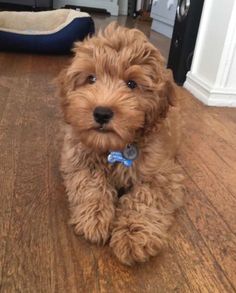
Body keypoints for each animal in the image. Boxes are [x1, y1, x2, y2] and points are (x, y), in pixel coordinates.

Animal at [57, 22, 184, 264]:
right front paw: (94, 219)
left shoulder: (163, 174)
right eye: (91, 79)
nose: (102, 112)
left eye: (132, 84)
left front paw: (134, 235)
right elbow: (92, 185)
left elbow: (144, 198)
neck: (112, 146)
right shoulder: (79, 159)